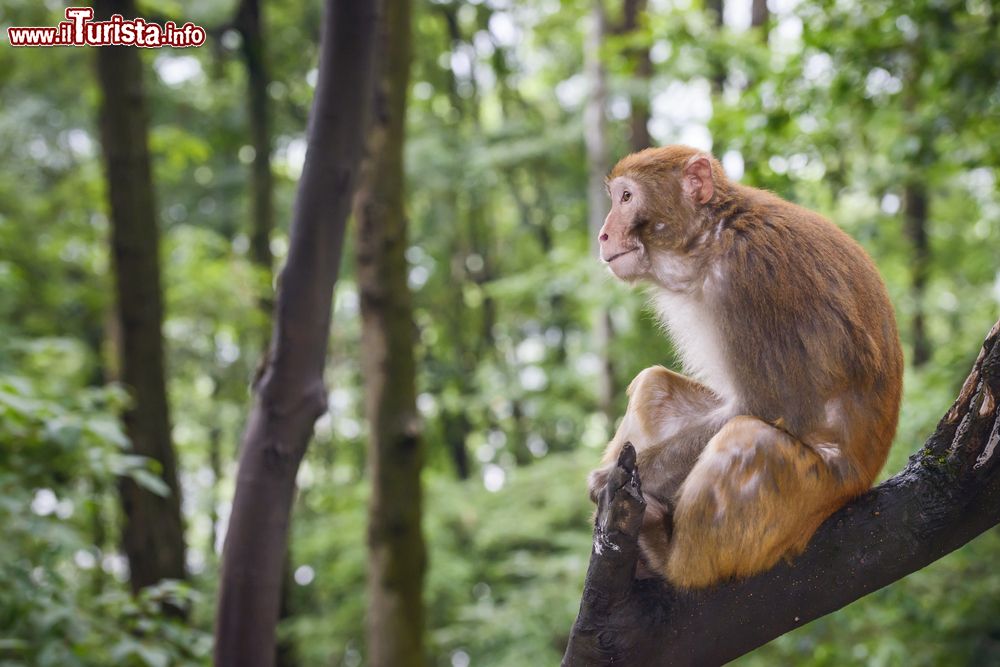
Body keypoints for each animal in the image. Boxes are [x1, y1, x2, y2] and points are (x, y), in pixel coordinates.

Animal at [588, 146, 904, 588]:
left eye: (627, 197)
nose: (603, 234)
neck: (712, 238)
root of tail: (860, 486)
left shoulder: (750, 278)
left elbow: (763, 406)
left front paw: (602, 482)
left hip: (808, 500)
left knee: (749, 438)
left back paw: (669, 557)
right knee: (654, 385)